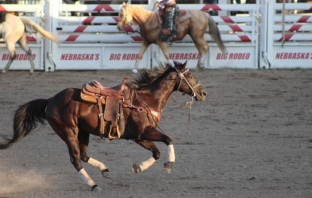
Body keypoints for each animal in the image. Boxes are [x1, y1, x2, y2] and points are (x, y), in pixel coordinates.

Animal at [0, 61, 207, 191]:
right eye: (189, 75)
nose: (203, 93)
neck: (146, 100)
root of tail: (50, 100)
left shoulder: (138, 137)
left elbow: (156, 152)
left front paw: (137, 168)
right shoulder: (143, 133)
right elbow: (168, 139)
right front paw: (170, 163)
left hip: (83, 133)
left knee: (83, 155)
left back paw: (104, 169)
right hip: (69, 133)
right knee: (76, 159)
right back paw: (93, 185)